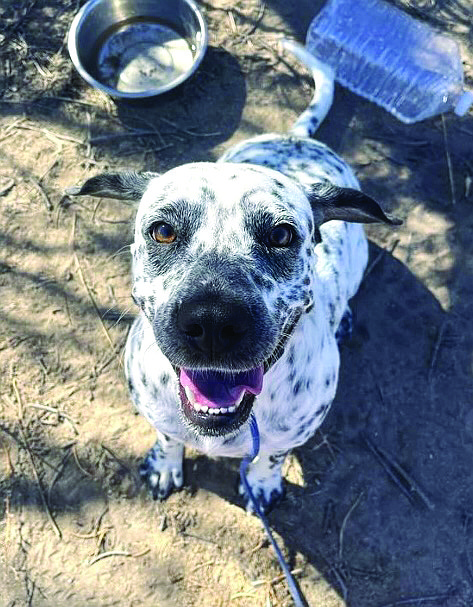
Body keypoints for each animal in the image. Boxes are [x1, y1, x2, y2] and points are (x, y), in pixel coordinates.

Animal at [66, 40, 398, 512]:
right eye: (163, 231)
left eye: (281, 234)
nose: (212, 324)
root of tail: (296, 137)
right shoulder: (158, 412)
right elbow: (168, 436)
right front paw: (166, 465)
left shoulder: (291, 433)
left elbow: (272, 457)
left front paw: (261, 482)